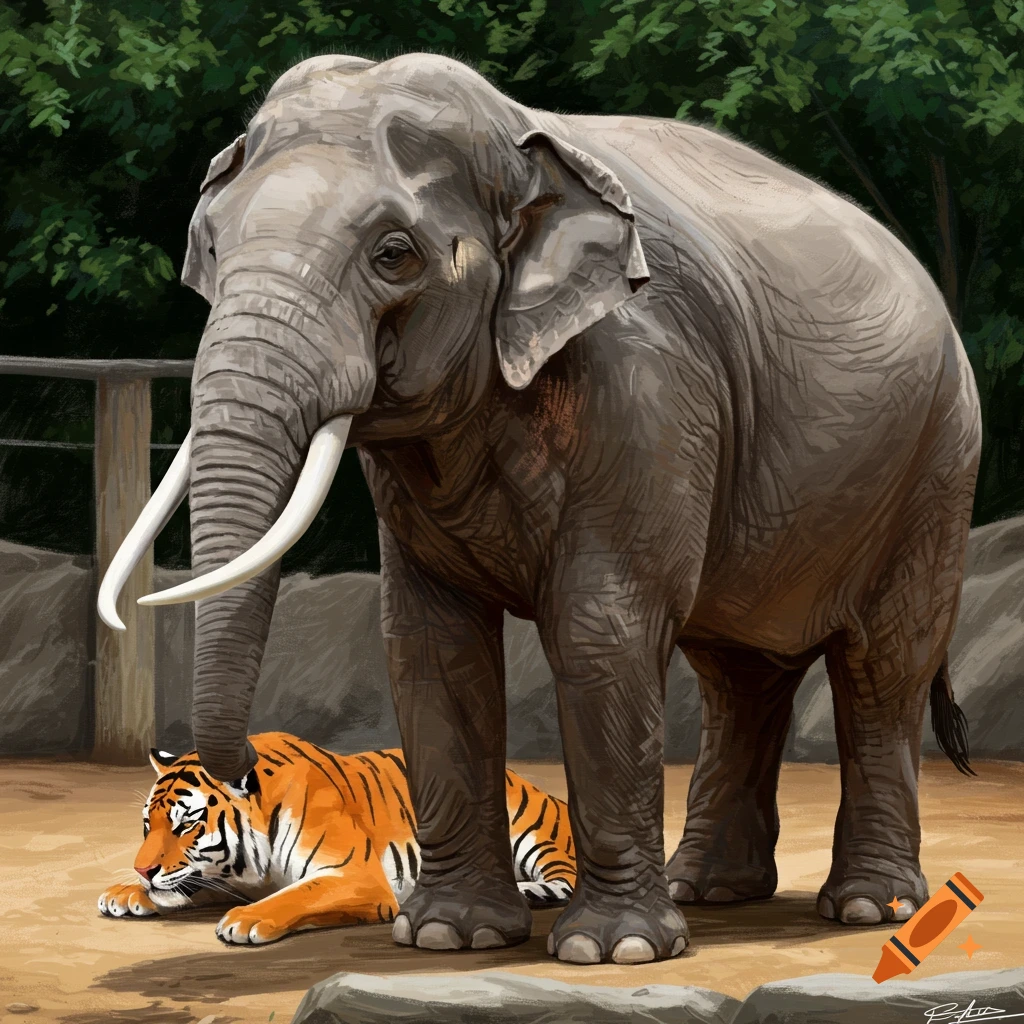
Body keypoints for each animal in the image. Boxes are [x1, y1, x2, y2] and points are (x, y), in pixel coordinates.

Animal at [98, 731, 576, 945]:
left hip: (531, 830)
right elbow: (194, 886)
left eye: (186, 824)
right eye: (148, 825)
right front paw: (125, 892)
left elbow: (297, 895)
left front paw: (245, 919)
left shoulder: (355, 876)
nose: (143, 869)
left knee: (565, 879)